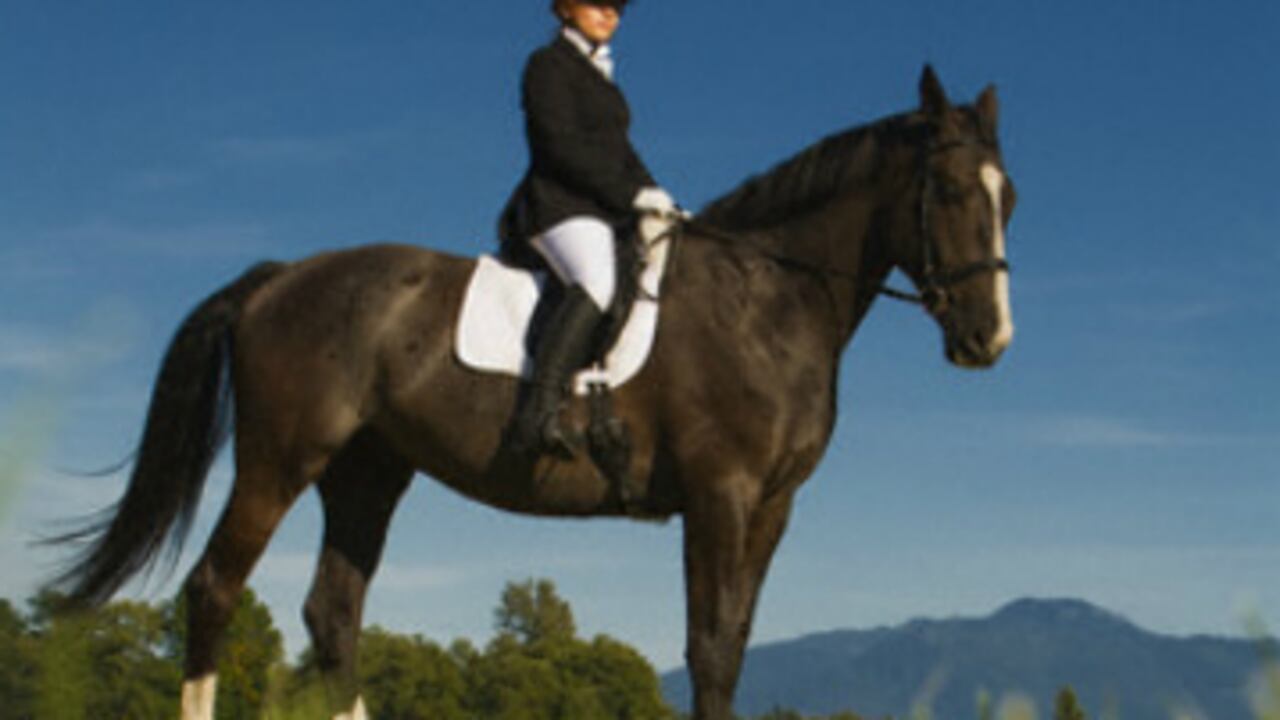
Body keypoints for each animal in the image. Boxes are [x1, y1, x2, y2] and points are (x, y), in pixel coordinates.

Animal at [47, 66, 1015, 720]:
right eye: (948, 189)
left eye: (1008, 197)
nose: (987, 340)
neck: (768, 294)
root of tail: (280, 278)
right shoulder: (721, 495)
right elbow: (708, 651)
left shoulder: (771, 505)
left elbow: (733, 647)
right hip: (281, 458)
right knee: (215, 588)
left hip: (368, 472)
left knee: (334, 614)